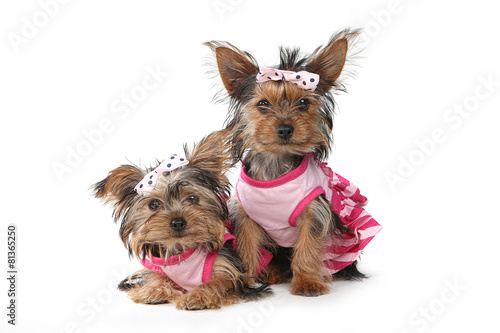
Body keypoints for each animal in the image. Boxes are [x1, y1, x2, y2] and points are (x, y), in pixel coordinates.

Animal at [92, 130, 272, 308]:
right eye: (154, 204)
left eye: (193, 198)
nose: (178, 222)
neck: (182, 249)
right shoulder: (157, 267)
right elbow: (156, 276)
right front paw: (154, 290)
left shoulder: (228, 265)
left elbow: (221, 281)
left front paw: (198, 295)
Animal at [207, 29, 382, 296]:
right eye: (263, 104)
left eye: (304, 103)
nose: (285, 129)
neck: (276, 166)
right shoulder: (246, 216)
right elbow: (247, 246)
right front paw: (245, 280)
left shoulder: (314, 211)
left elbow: (309, 245)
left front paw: (308, 281)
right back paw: (271, 272)